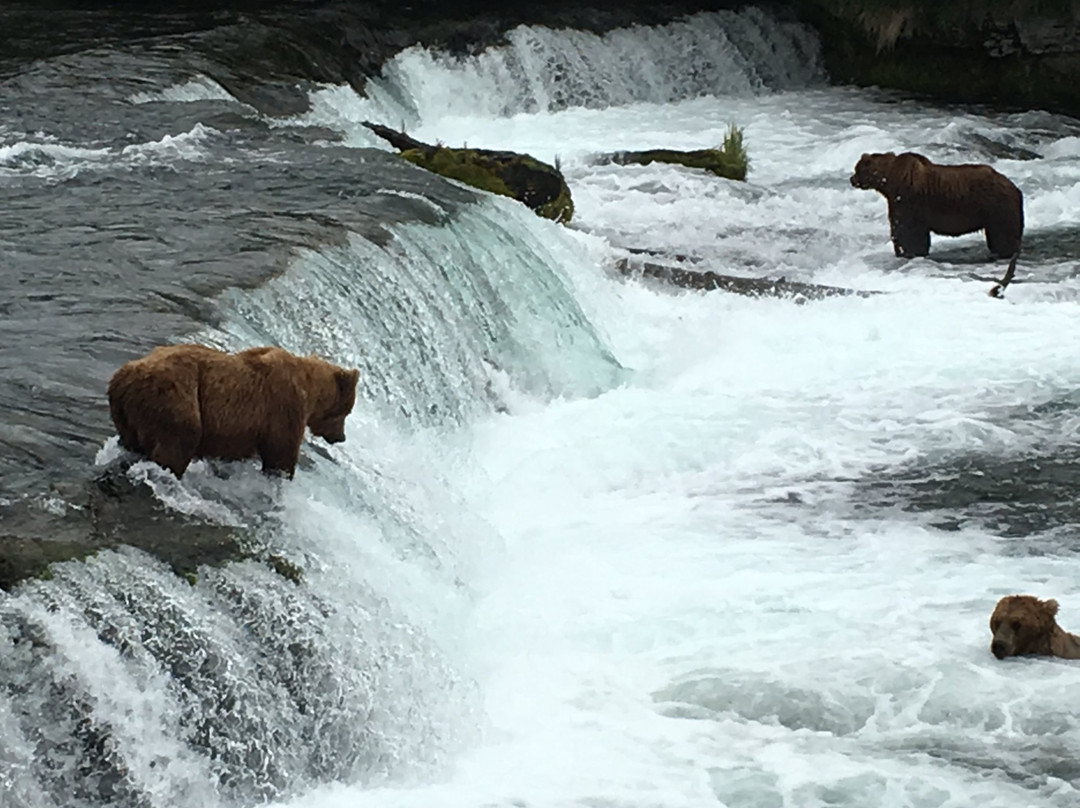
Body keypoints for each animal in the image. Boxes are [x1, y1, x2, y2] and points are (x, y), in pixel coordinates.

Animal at [107, 344, 360, 479]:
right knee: (176, 447)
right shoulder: (284, 408)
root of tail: (123, 376)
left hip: (126, 414)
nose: (341, 437)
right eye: (347, 411)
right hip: (176, 400)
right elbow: (281, 456)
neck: (311, 389)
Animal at [850, 151, 1023, 260]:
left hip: (997, 208)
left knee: (1003, 236)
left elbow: (909, 233)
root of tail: (1014, 187)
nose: (852, 179)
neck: (888, 183)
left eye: (857, 169)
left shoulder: (908, 201)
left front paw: (910, 251)